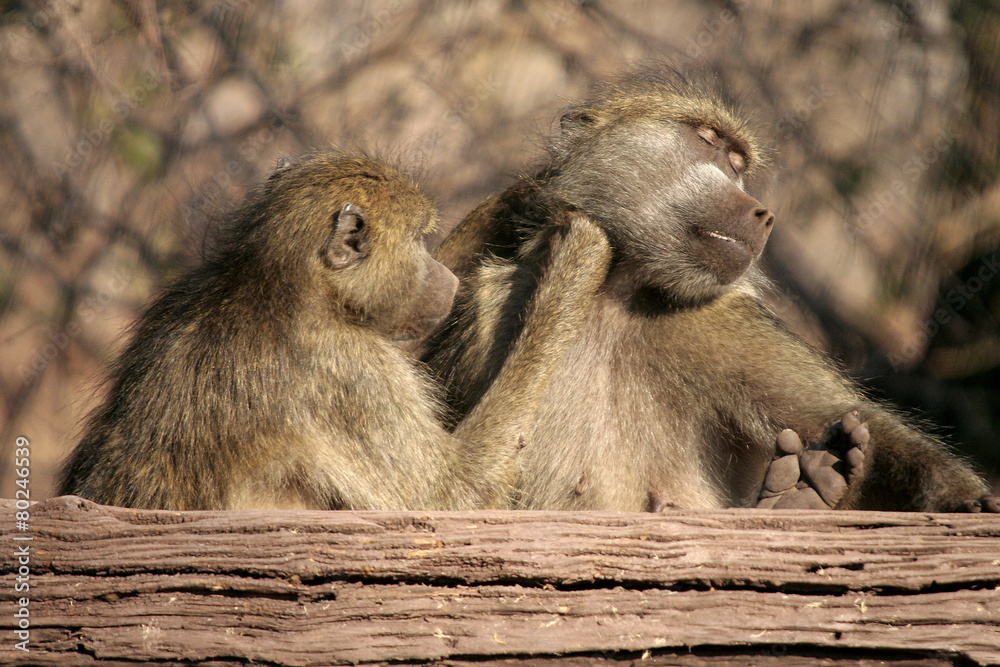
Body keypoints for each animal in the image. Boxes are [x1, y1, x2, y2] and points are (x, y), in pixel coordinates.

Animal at [57, 152, 611, 511]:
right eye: (418, 240)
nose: (447, 280)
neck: (288, 283)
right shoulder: (353, 372)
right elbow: (451, 499)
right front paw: (578, 259)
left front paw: (522, 195)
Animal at [423, 69, 999, 514]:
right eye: (706, 139)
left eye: (739, 163)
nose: (763, 214)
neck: (617, 296)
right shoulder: (491, 303)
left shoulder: (724, 324)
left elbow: (862, 422)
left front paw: (967, 500)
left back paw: (804, 496)